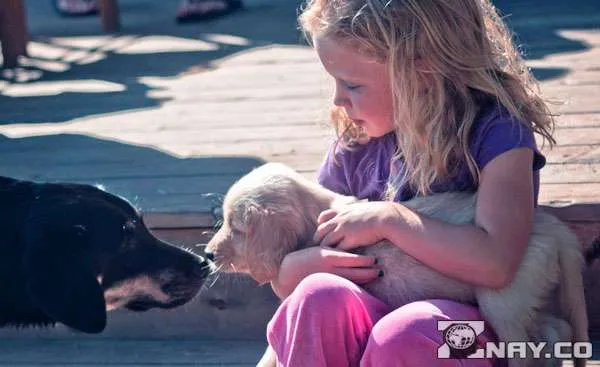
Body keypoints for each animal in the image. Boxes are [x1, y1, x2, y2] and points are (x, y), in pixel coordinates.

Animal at [205, 164, 584, 367]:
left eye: (236, 228)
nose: (207, 255)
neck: (316, 221)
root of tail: (554, 228)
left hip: (502, 302)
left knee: (531, 346)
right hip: (523, 300)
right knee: (556, 330)